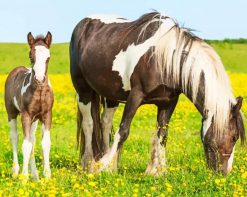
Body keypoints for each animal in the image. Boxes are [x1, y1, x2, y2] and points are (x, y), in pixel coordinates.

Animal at [4, 31, 53, 179]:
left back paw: (35, 176)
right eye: (31, 56)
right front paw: (24, 177)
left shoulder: (46, 115)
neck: (40, 91)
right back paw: (16, 171)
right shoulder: (25, 115)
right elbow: (25, 145)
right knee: (15, 137)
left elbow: (44, 143)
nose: (40, 79)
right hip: (12, 113)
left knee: (32, 139)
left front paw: (47, 176)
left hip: (35, 120)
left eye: (48, 57)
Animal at [69, 11, 245, 175]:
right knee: (89, 124)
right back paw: (89, 164)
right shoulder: (135, 96)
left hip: (111, 95)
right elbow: (123, 131)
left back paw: (109, 164)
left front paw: (158, 171)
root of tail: (83, 24)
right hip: (83, 91)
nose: (224, 172)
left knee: (105, 123)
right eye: (234, 137)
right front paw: (103, 167)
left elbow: (162, 134)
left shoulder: (168, 102)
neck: (164, 60)